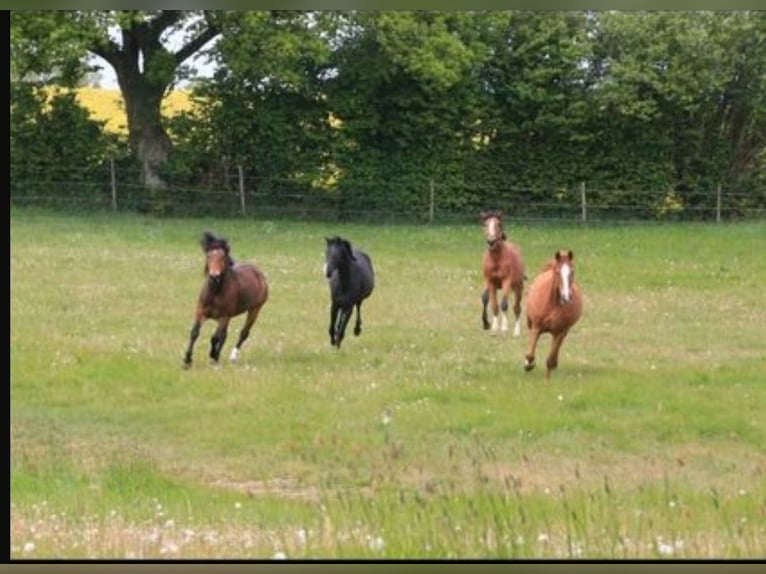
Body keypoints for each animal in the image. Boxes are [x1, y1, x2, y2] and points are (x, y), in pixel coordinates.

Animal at [183, 231, 269, 368]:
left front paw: (213, 356)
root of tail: (259, 273)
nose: (214, 276)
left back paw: (232, 356)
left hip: (254, 310)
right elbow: (195, 332)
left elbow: (215, 337)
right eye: (208, 255)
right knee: (225, 335)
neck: (215, 292)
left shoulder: (224, 316)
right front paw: (187, 359)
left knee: (243, 333)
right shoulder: (201, 312)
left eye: (223, 257)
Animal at [524, 249, 583, 380]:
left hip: (562, 332)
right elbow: (530, 354)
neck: (552, 304)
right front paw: (528, 365)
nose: (566, 297)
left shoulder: (559, 332)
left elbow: (550, 360)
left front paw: (547, 380)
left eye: (572, 271)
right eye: (557, 272)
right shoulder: (536, 327)